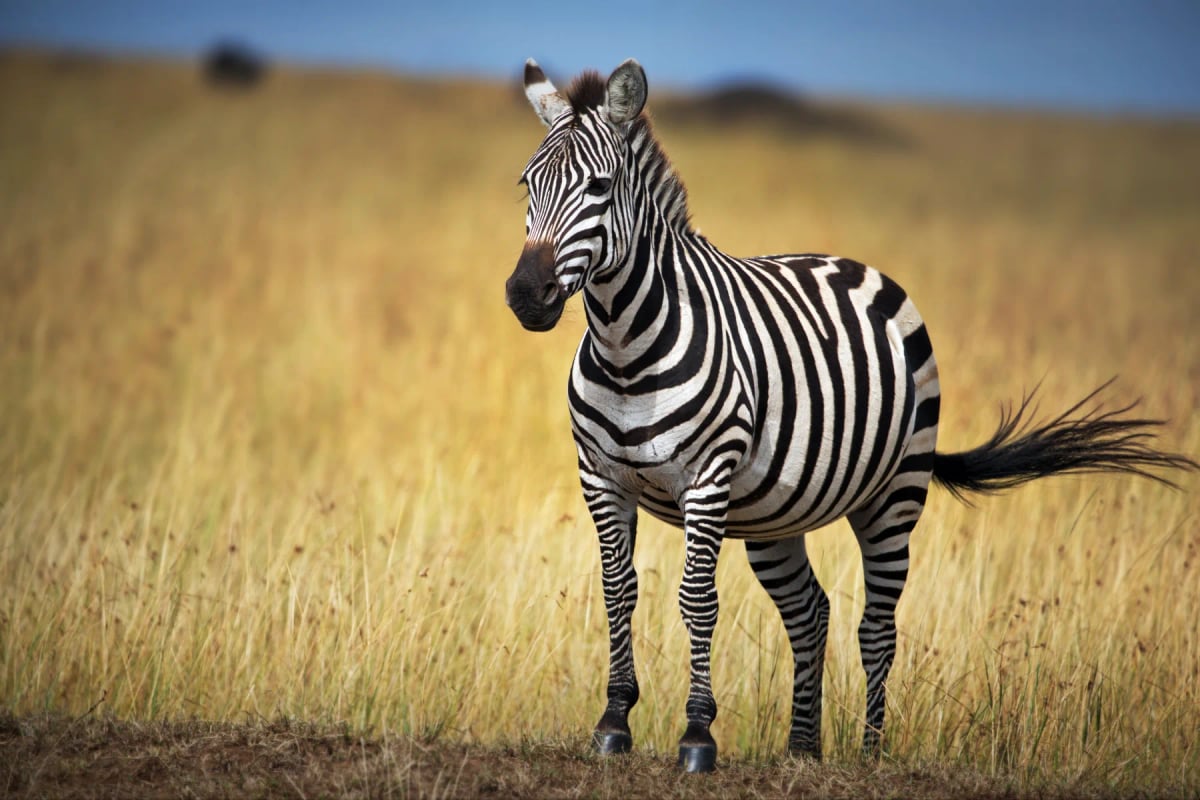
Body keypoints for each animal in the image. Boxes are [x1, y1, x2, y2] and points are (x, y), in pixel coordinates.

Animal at [503, 58, 1195, 773]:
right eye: (526, 183)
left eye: (599, 187)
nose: (527, 295)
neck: (625, 352)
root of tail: (853, 263)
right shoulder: (601, 478)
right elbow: (618, 589)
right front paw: (613, 721)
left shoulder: (708, 480)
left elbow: (697, 598)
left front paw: (697, 735)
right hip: (772, 514)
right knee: (810, 611)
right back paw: (802, 747)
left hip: (895, 494)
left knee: (878, 626)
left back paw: (869, 751)